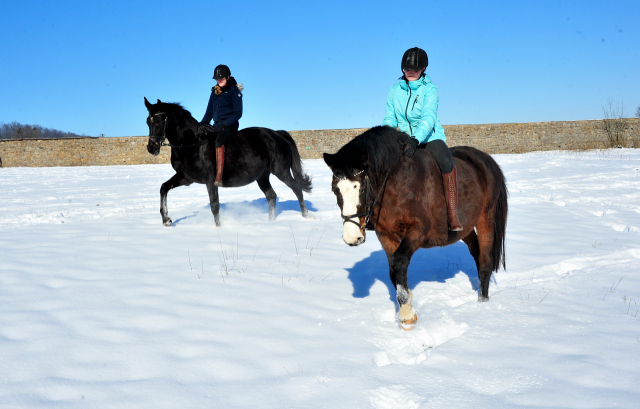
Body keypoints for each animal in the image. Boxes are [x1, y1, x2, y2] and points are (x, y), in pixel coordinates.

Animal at [146, 97, 316, 228]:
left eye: (161, 120)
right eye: (148, 121)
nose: (151, 148)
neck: (192, 144)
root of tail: (278, 134)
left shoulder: (210, 181)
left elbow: (215, 206)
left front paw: (219, 229)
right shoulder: (186, 178)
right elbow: (163, 188)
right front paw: (167, 220)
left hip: (281, 171)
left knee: (296, 188)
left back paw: (306, 216)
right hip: (262, 176)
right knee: (271, 195)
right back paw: (270, 222)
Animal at [322, 126, 508, 330]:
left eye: (361, 188)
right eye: (335, 190)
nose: (352, 237)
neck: (394, 182)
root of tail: (487, 160)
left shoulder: (419, 230)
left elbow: (399, 262)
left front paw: (406, 315)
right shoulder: (385, 234)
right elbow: (393, 270)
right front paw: (408, 305)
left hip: (486, 219)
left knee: (485, 260)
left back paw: (483, 304)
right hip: (465, 228)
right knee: (476, 253)